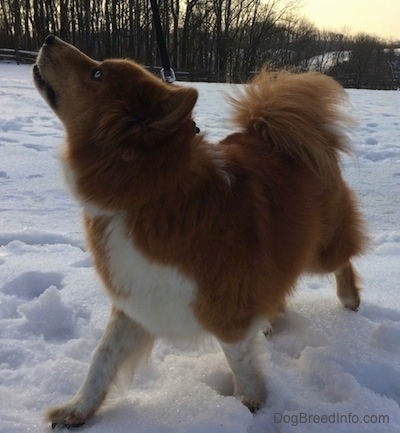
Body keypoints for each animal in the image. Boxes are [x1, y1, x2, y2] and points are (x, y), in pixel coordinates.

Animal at [32, 35, 368, 426]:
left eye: (96, 74)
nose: (49, 39)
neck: (151, 193)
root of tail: (286, 131)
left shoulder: (226, 305)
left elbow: (240, 362)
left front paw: (249, 405)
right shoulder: (136, 296)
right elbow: (102, 359)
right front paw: (79, 409)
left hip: (318, 249)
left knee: (342, 261)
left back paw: (349, 299)